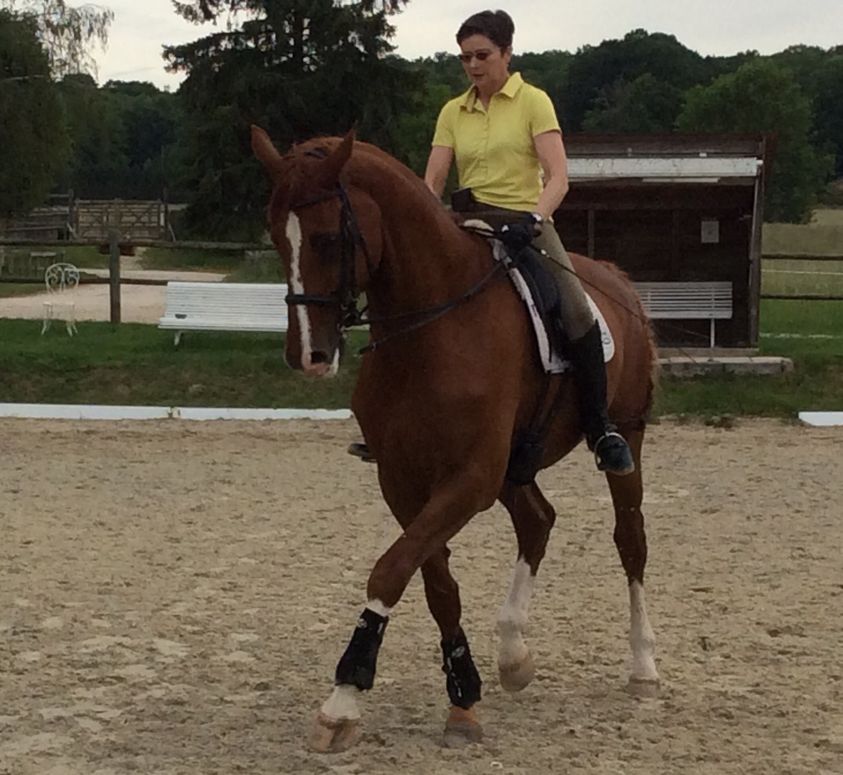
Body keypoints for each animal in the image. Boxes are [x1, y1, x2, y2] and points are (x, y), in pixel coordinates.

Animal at [254, 126, 664, 752]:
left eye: (326, 238)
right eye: (278, 237)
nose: (309, 356)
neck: (430, 330)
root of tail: (617, 280)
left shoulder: (468, 479)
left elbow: (391, 570)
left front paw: (343, 699)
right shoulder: (403, 479)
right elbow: (434, 580)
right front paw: (463, 694)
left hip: (627, 437)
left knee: (630, 540)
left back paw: (642, 668)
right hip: (514, 466)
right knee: (537, 521)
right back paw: (514, 655)